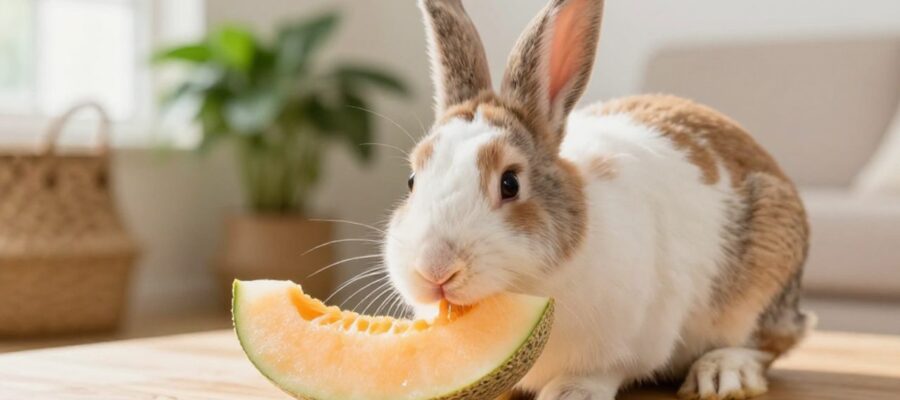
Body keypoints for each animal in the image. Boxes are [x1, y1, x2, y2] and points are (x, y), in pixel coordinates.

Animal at [383, 0, 812, 399]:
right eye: (411, 180)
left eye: (509, 183)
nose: (434, 269)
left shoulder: (634, 337)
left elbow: (606, 370)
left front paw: (568, 392)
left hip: (761, 279)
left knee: (769, 343)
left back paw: (723, 373)